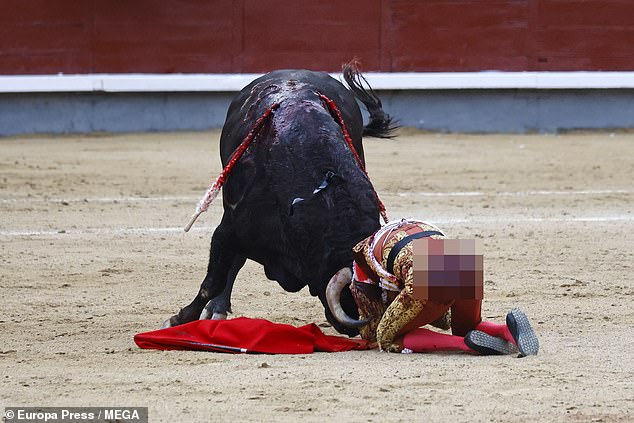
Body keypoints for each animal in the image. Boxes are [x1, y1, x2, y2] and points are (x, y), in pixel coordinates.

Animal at [160, 64, 392, 336]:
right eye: (356, 295)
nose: (352, 328)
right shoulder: (229, 231)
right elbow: (213, 281)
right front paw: (178, 320)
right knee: (233, 264)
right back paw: (216, 309)